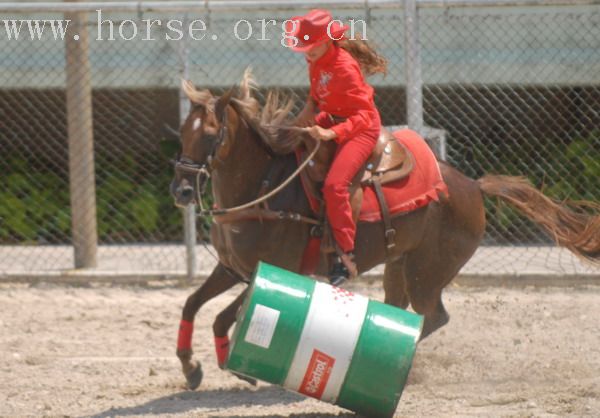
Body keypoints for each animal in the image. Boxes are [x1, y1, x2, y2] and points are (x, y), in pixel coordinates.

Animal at [169, 71, 600, 388]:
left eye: (211, 134)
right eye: (183, 132)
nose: (182, 190)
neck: (263, 189)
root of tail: (473, 186)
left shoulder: (276, 271)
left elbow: (223, 317)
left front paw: (233, 367)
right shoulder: (231, 268)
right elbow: (192, 304)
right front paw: (190, 368)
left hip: (428, 273)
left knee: (433, 316)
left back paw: (400, 368)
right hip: (399, 266)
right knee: (399, 310)